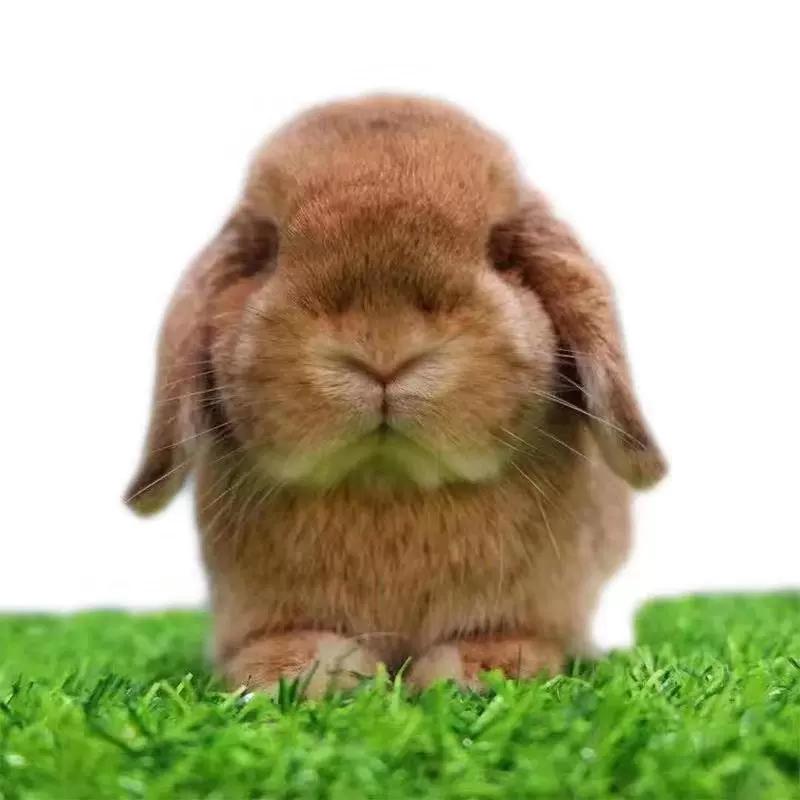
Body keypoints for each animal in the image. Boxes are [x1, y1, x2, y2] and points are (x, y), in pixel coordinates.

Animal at [124, 93, 667, 697]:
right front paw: (294, 676)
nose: (383, 345)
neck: (388, 481)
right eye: (267, 250)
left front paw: (475, 675)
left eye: (502, 251)